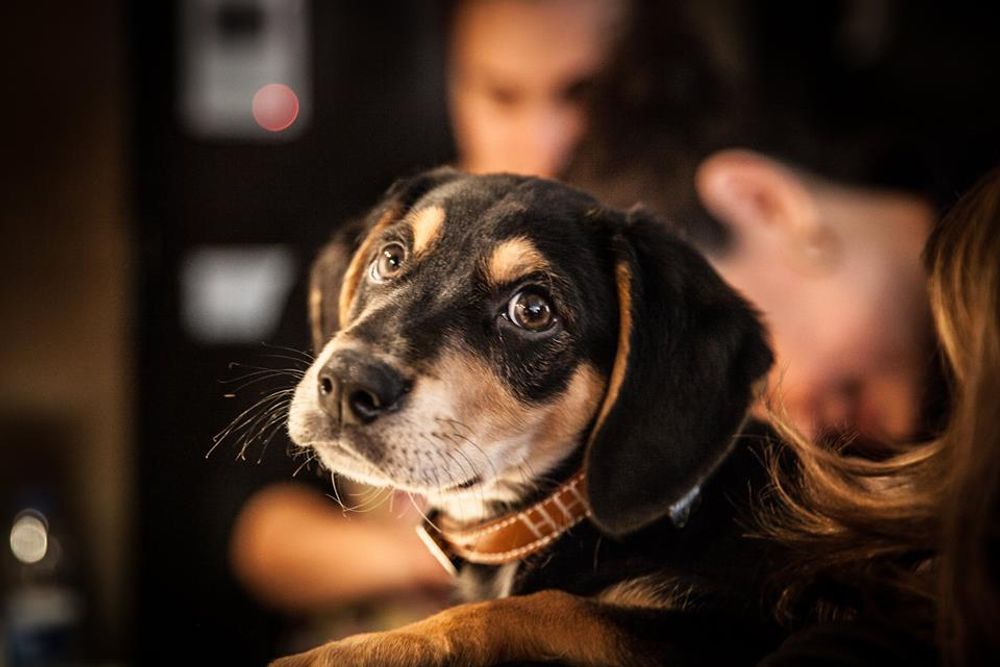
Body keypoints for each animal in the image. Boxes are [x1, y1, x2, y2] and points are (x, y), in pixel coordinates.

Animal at [275, 168, 786, 666]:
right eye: (390, 258)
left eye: (533, 310)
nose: (346, 383)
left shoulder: (712, 628)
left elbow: (532, 610)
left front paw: (341, 653)